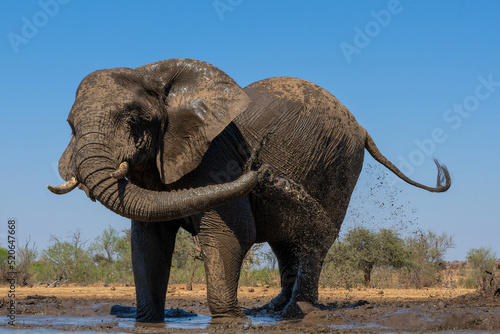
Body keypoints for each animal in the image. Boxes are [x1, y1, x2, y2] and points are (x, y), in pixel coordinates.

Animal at [47, 58, 454, 322]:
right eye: (69, 125)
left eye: (134, 119)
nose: (260, 165)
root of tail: (362, 127)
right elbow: (148, 241)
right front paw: (147, 322)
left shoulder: (215, 156)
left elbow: (229, 233)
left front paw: (229, 319)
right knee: (287, 240)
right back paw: (274, 308)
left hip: (340, 163)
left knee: (316, 239)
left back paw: (298, 312)